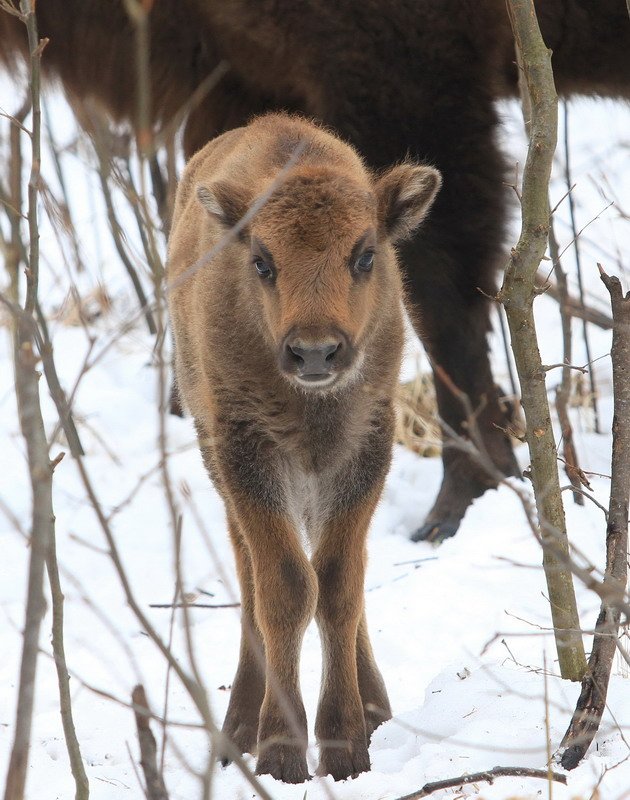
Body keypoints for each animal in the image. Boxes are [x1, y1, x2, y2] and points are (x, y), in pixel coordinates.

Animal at [168, 112, 444, 780]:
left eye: (365, 254)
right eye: (262, 262)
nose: (315, 352)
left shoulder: (363, 449)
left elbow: (339, 582)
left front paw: (346, 745)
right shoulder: (248, 455)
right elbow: (287, 587)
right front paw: (280, 751)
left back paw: (375, 710)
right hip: (219, 460)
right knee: (250, 577)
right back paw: (238, 727)